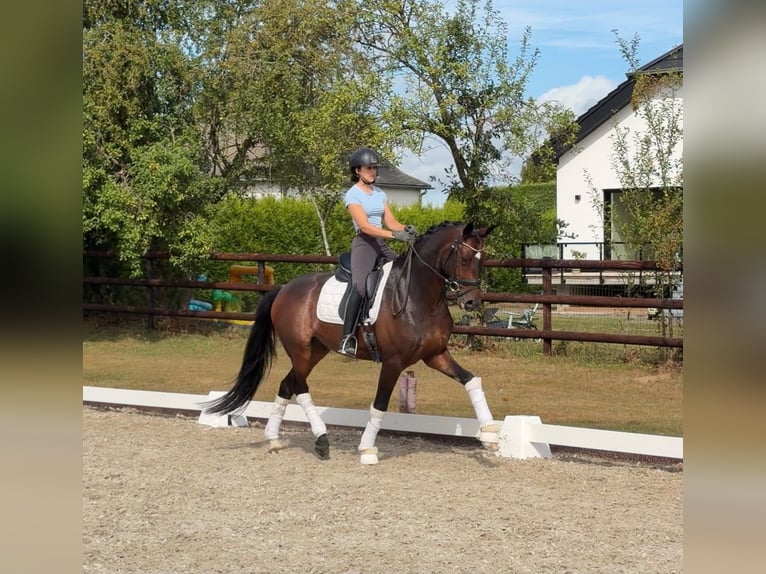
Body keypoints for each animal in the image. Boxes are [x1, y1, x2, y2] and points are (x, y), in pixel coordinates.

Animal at [202, 221, 499, 464]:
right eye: (464, 257)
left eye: (482, 259)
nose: (471, 302)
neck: (418, 296)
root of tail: (284, 289)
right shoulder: (393, 362)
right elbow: (380, 403)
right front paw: (367, 449)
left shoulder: (436, 355)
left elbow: (472, 381)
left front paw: (490, 436)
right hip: (301, 350)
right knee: (299, 387)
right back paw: (321, 440)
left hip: (315, 351)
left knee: (287, 384)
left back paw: (275, 440)